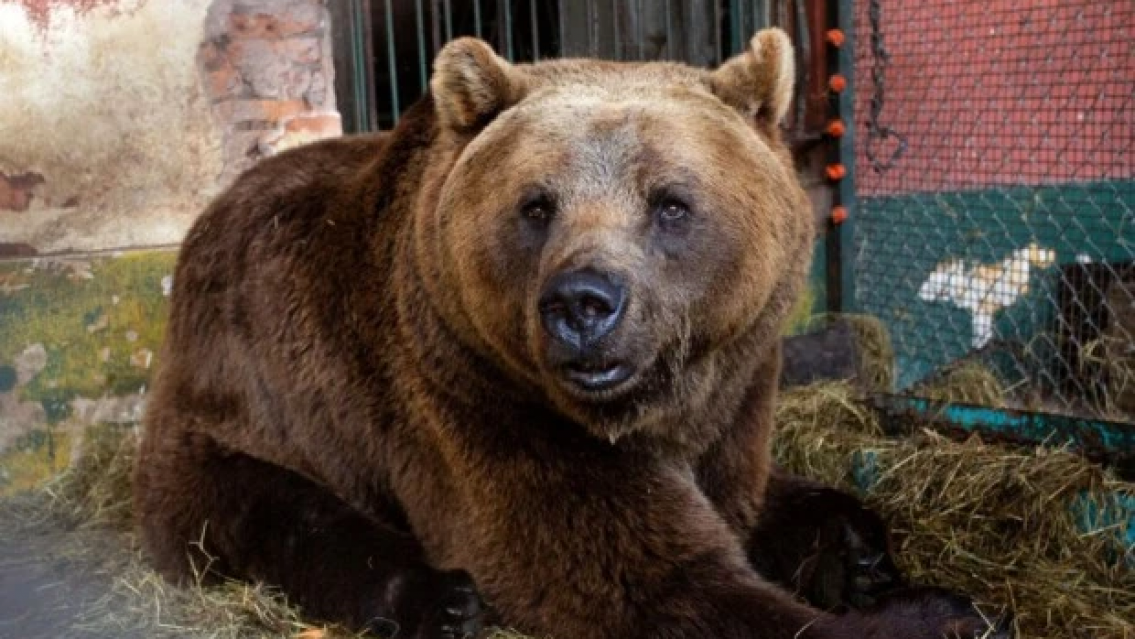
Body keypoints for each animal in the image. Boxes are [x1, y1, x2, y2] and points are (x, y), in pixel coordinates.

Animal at [134, 29, 1008, 639]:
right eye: (535, 204)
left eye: (670, 202)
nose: (582, 302)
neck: (655, 405)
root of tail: (206, 219)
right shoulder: (475, 396)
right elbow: (628, 572)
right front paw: (943, 611)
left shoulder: (733, 395)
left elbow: (737, 494)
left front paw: (852, 558)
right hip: (249, 400)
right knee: (276, 512)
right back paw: (438, 597)